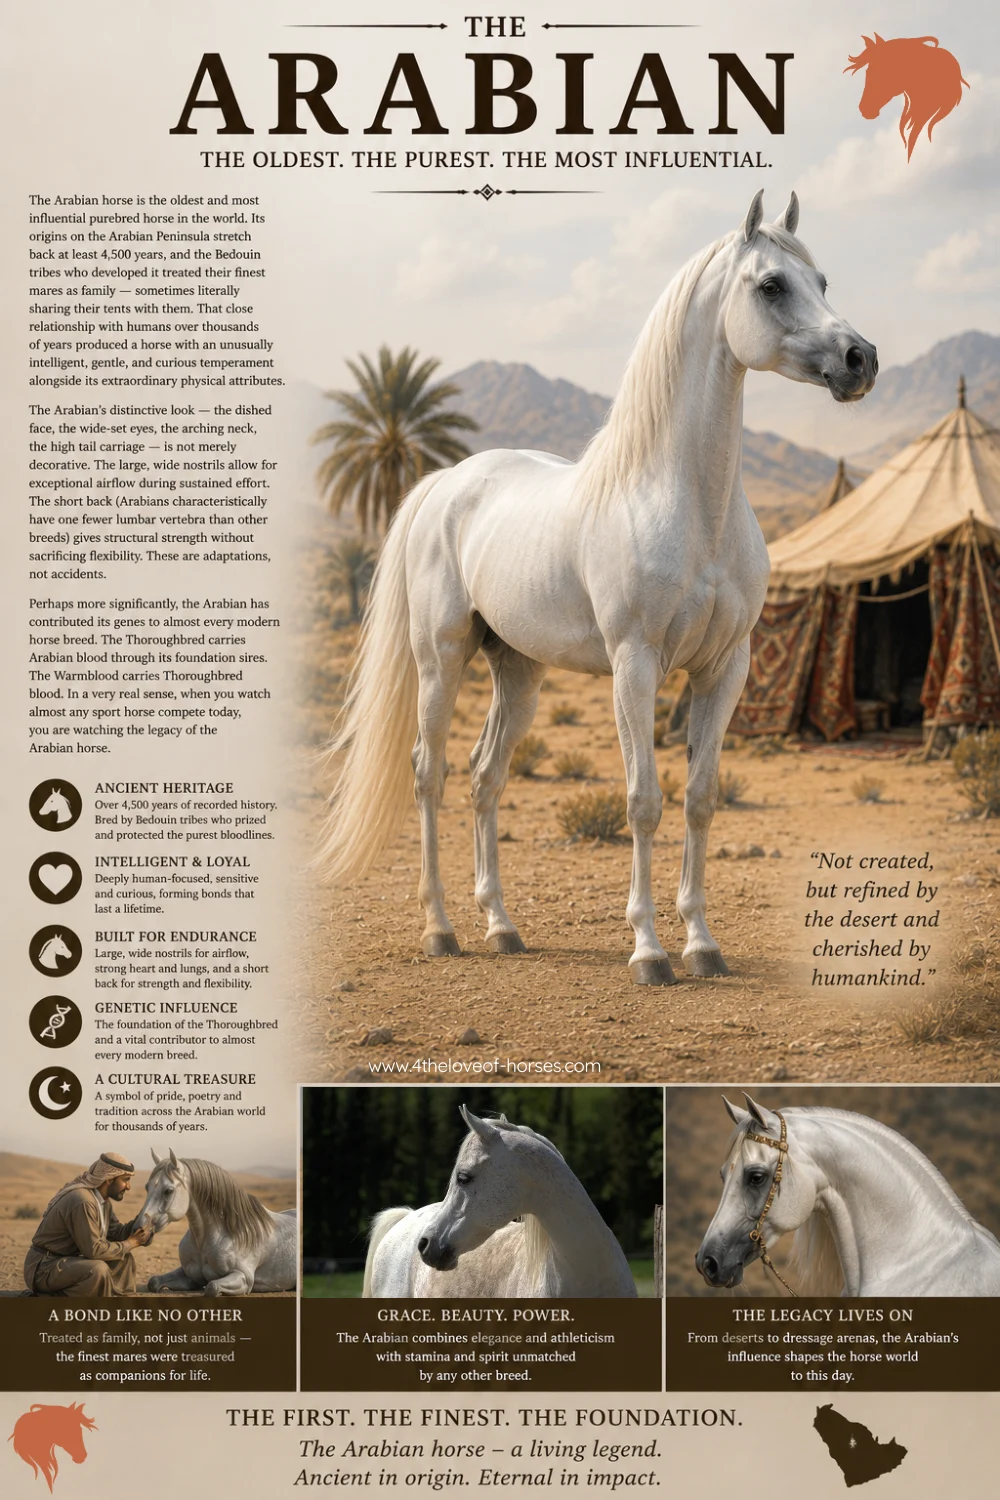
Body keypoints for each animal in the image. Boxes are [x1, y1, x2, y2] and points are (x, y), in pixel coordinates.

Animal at [134, 1149, 297, 1295]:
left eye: (168, 1190)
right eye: (147, 1187)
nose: (139, 1228)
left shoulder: (243, 1278)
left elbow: (212, 1287)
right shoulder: (188, 1273)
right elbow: (154, 1282)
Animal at [321, 192, 876, 986]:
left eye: (823, 280)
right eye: (771, 284)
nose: (861, 360)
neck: (684, 501)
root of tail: (444, 482)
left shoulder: (726, 668)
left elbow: (700, 799)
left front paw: (702, 943)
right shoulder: (634, 664)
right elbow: (643, 800)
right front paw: (648, 950)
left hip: (518, 672)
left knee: (486, 777)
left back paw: (502, 926)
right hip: (440, 660)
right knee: (430, 775)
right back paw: (441, 929)